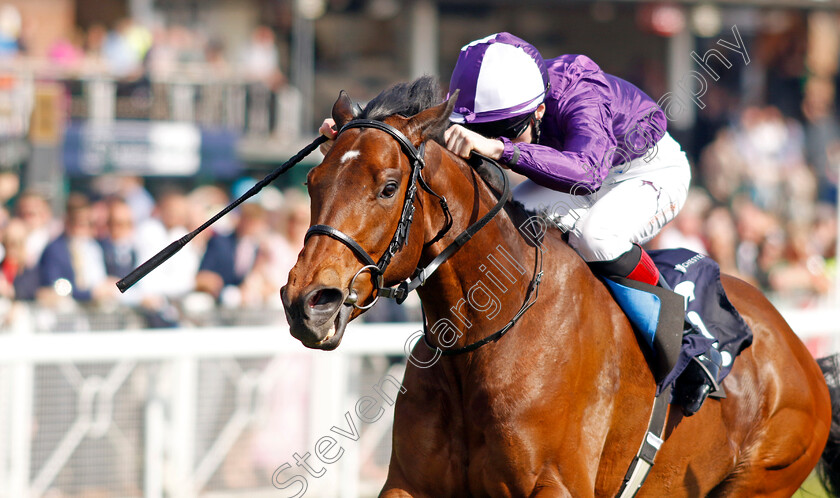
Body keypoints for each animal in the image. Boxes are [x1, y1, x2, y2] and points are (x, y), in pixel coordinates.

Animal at [284, 77, 840, 494]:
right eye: (312, 183)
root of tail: (802, 354)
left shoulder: (555, 483)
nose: (308, 302)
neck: (483, 336)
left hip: (764, 474)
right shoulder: (409, 482)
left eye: (387, 186)